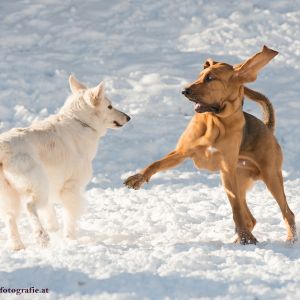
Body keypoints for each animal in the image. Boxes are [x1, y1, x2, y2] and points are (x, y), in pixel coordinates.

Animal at [0, 76, 130, 250]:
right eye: (109, 106)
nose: (128, 118)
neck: (80, 121)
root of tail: (3, 147)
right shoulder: (71, 187)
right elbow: (70, 216)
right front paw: (70, 238)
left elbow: (50, 212)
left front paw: (54, 227)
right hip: (38, 185)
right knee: (29, 206)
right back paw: (41, 237)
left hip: (12, 194)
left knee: (10, 217)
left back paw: (17, 245)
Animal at [123, 46, 296, 244]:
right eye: (200, 76)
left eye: (210, 78)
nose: (185, 90)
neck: (216, 122)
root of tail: (267, 127)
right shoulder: (181, 153)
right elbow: (155, 164)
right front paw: (137, 178)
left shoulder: (227, 169)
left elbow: (236, 209)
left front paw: (245, 236)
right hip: (239, 181)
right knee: (251, 218)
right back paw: (241, 239)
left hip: (270, 177)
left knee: (287, 213)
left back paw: (286, 239)